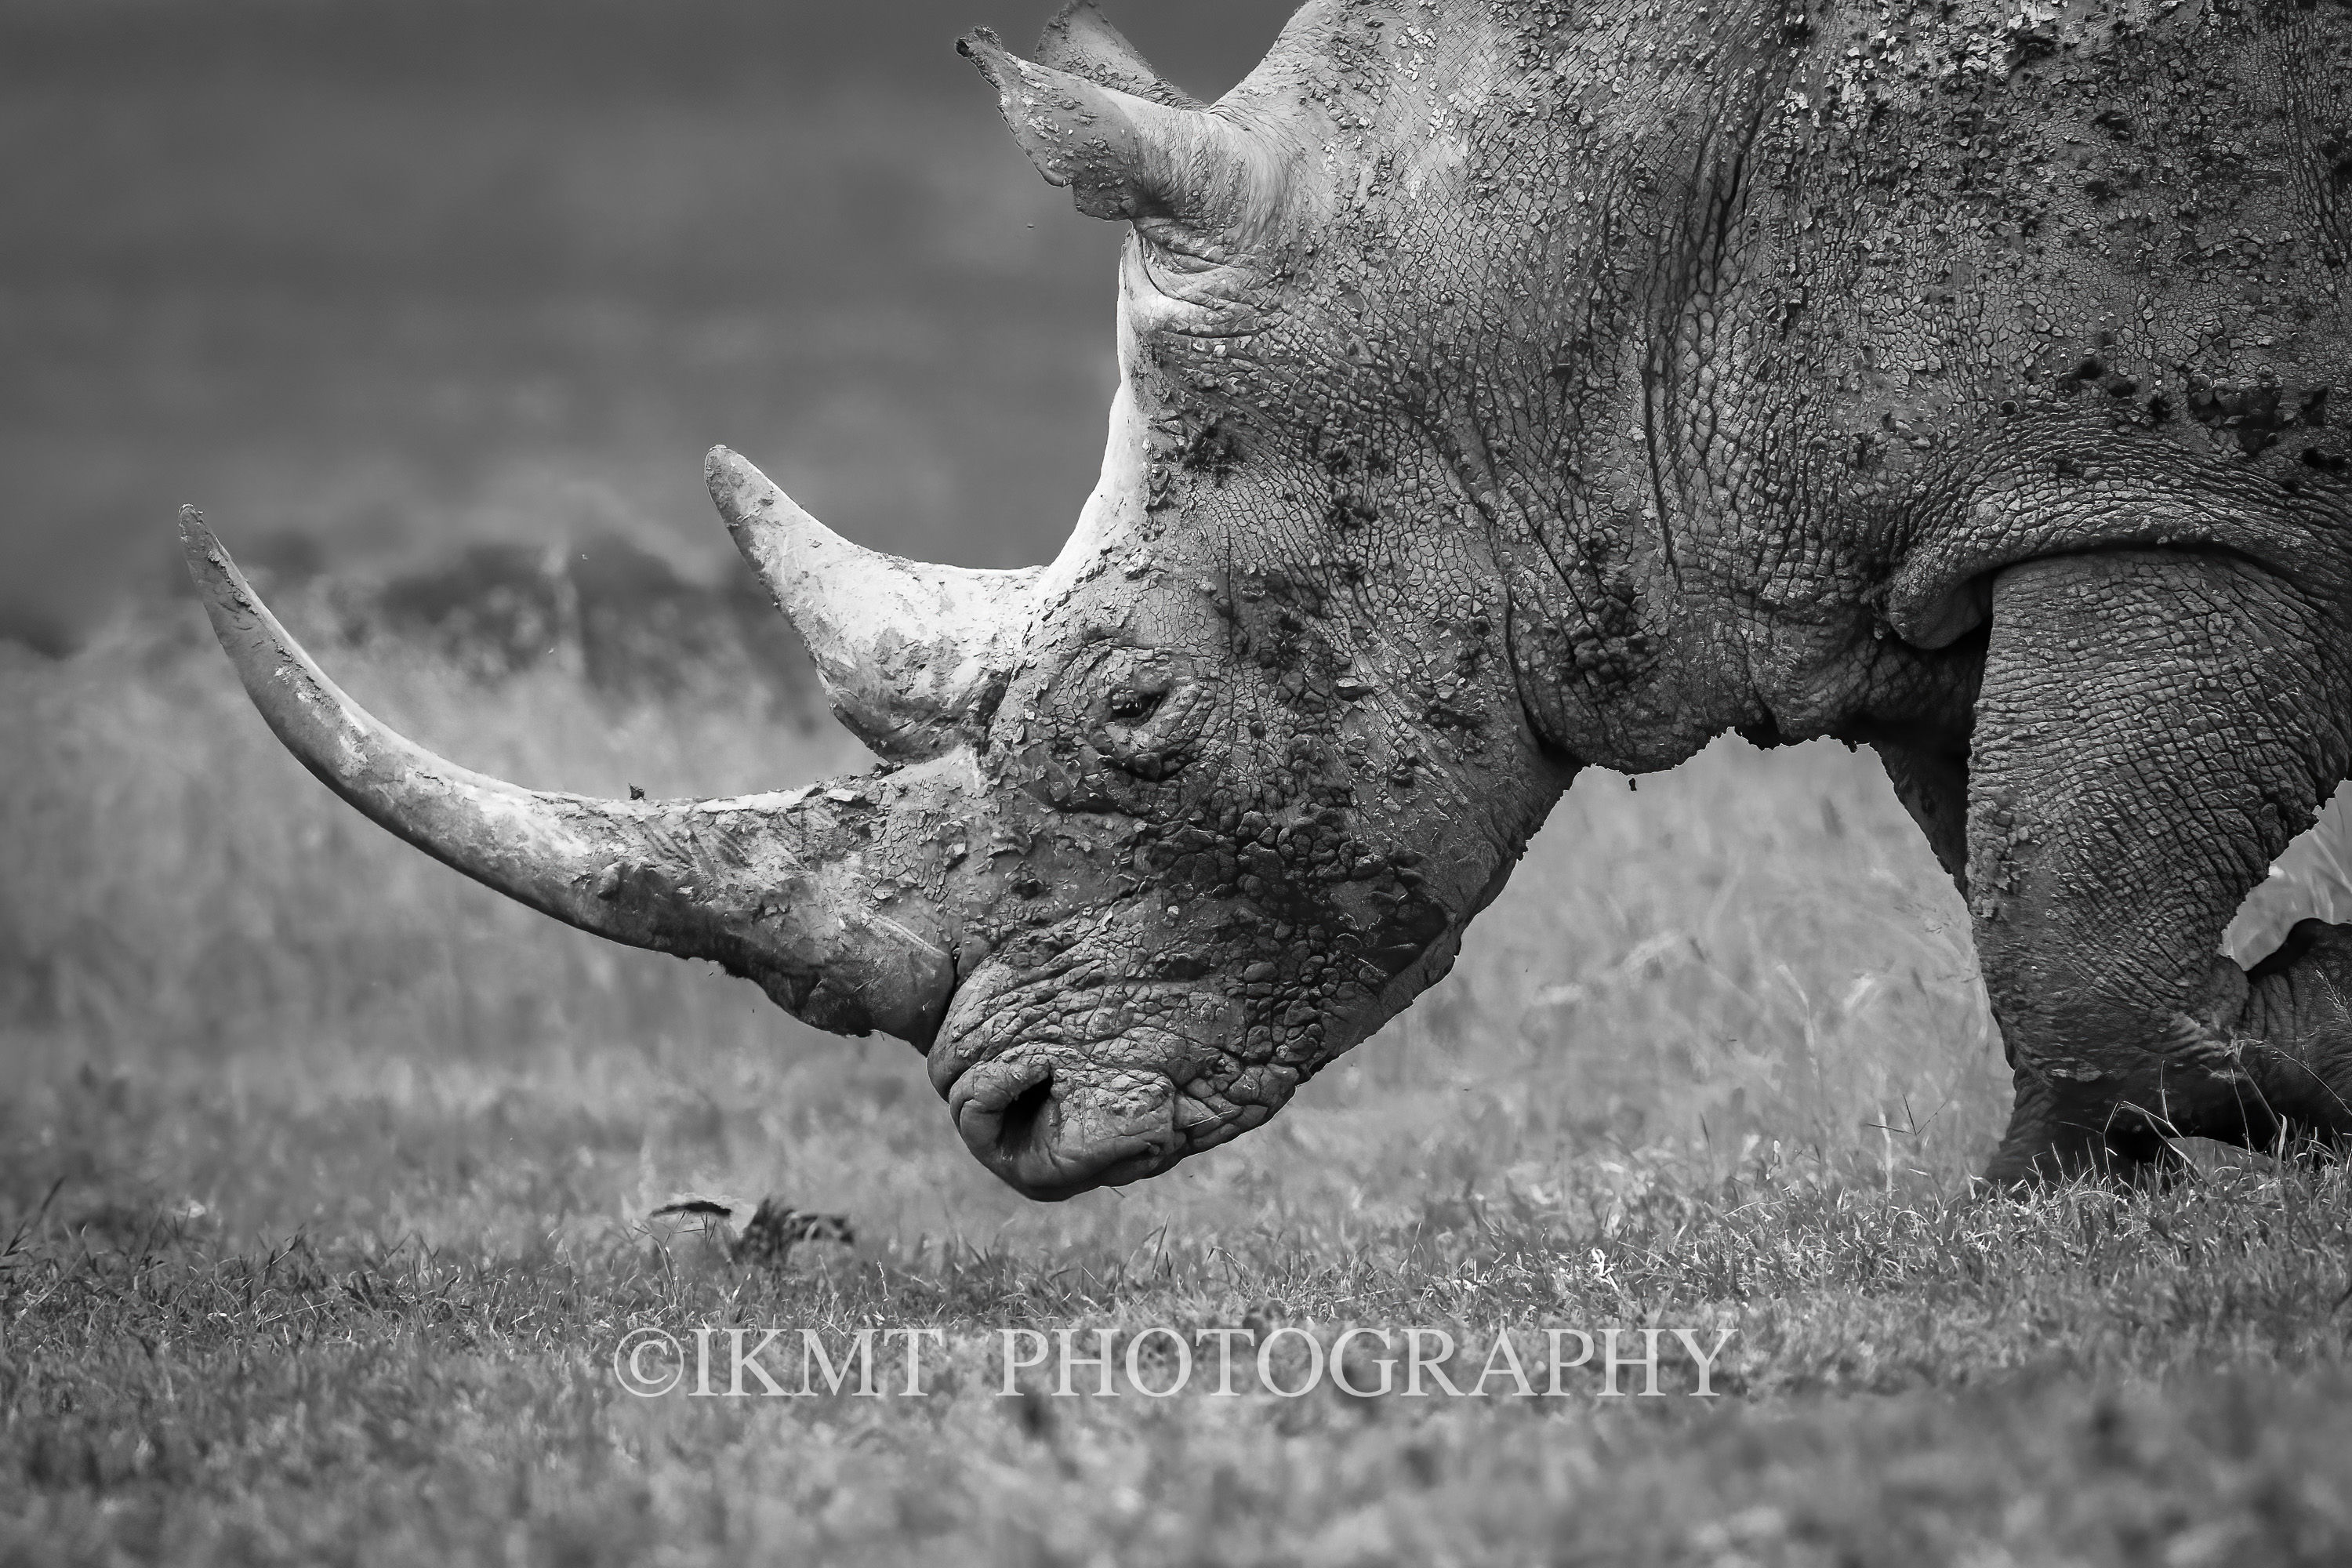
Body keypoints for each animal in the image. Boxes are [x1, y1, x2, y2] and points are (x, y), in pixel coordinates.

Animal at [182, 0, 2351, 1194]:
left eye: (1136, 713)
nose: (1008, 1121)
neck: (1575, 234)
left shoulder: (2165, 485)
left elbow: (2068, 915)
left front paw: (2309, 1035)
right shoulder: (1922, 531)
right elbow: (2021, 881)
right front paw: (2071, 1184)